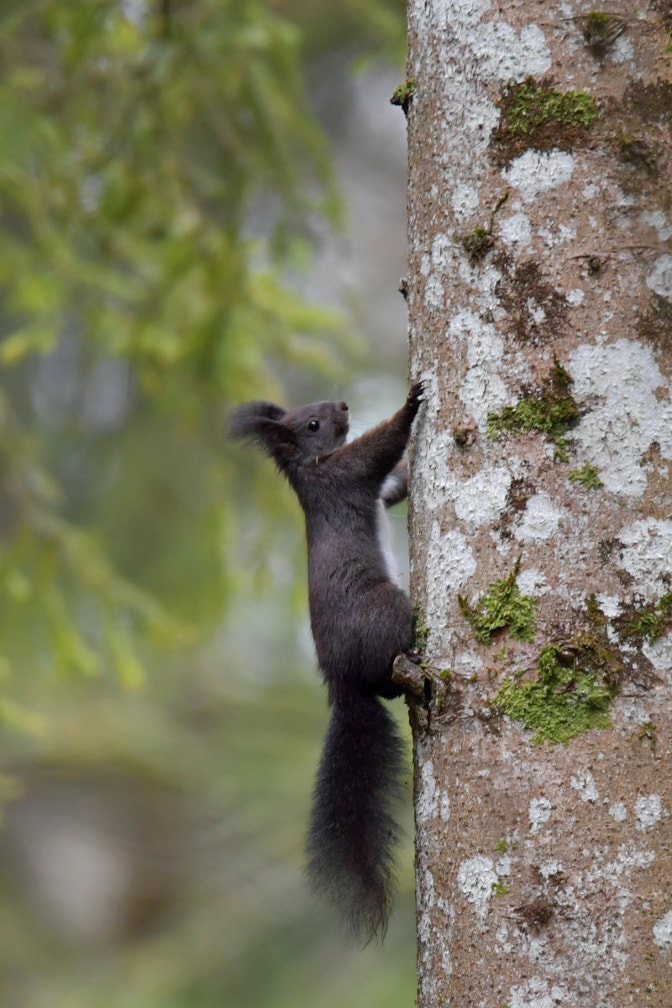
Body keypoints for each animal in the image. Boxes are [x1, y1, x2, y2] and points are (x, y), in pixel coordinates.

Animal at [228, 381, 423, 939]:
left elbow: (395, 482)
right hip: (384, 612)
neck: (309, 468)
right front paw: (410, 406)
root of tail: (340, 681)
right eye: (311, 425)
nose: (342, 405)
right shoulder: (341, 475)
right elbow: (377, 451)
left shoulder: (370, 487)